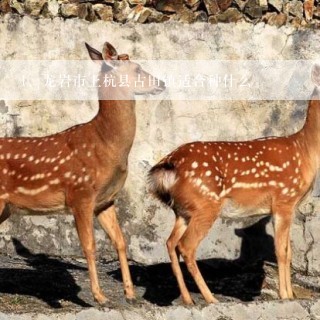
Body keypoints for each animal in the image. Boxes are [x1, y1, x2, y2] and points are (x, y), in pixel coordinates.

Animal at [0, 41, 165, 304]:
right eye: (138, 68)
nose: (162, 83)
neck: (105, 144)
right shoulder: (80, 193)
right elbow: (89, 246)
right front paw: (99, 296)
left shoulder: (105, 200)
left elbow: (120, 241)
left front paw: (130, 294)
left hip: (6, 207)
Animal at [148, 64, 320, 304]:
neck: (305, 151)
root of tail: (169, 165)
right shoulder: (284, 199)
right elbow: (282, 252)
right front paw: (286, 296)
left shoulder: (286, 206)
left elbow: (288, 251)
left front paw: (290, 294)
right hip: (206, 204)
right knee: (186, 246)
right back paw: (210, 298)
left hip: (183, 210)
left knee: (171, 243)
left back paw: (188, 299)